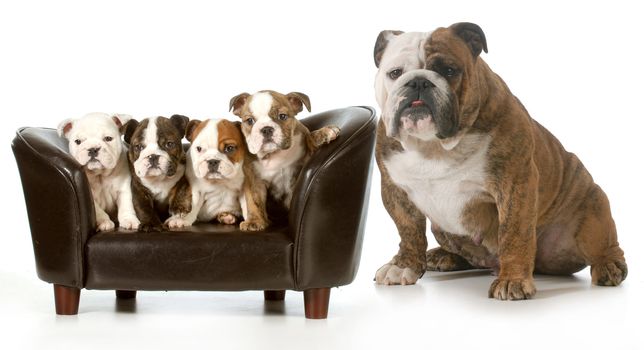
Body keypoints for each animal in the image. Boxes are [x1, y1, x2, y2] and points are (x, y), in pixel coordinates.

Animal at [230, 91, 342, 231]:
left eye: (282, 116)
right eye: (250, 121)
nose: (266, 129)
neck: (275, 154)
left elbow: (309, 139)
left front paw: (322, 134)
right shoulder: (253, 179)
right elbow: (254, 201)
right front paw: (255, 221)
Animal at [370, 23, 628, 300]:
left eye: (449, 70)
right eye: (395, 73)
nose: (418, 81)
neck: (433, 146)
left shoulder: (515, 184)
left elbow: (514, 234)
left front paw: (512, 280)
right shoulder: (395, 189)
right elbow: (408, 230)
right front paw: (403, 266)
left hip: (594, 211)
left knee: (603, 245)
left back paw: (609, 266)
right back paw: (443, 256)